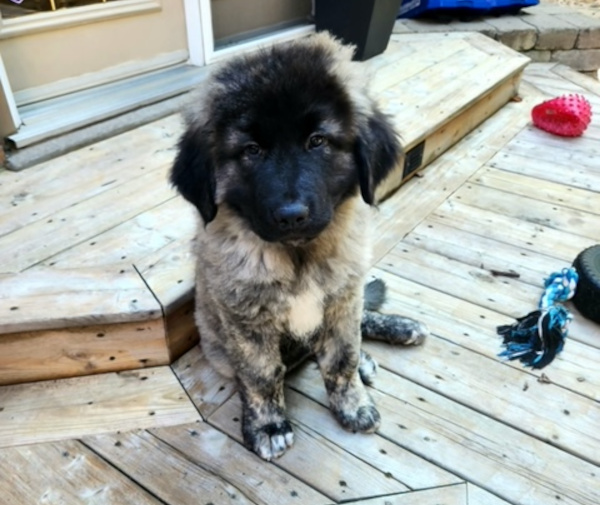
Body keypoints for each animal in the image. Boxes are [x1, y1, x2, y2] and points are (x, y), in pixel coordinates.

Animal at [171, 33, 428, 460]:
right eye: (252, 150)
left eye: (317, 141)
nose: (291, 215)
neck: (297, 255)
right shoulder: (246, 319)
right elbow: (260, 374)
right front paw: (267, 426)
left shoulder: (341, 297)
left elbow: (342, 357)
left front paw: (353, 404)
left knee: (359, 323)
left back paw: (395, 330)